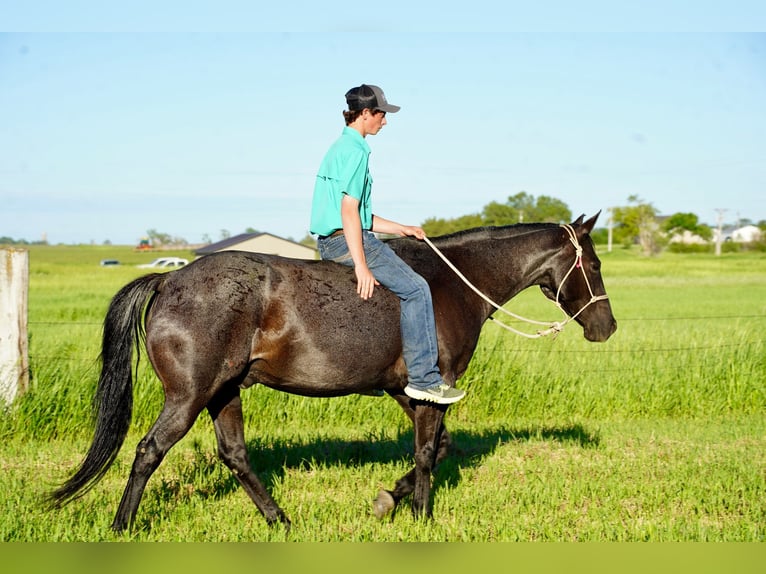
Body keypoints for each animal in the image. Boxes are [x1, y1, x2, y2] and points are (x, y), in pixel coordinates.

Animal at [49, 214, 616, 532]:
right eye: (593, 265)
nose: (606, 327)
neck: (452, 284)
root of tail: (169, 281)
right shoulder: (431, 390)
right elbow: (428, 453)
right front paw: (421, 515)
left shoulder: (408, 393)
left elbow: (439, 449)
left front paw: (391, 499)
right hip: (188, 397)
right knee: (148, 451)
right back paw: (123, 526)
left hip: (224, 392)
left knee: (235, 456)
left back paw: (280, 520)